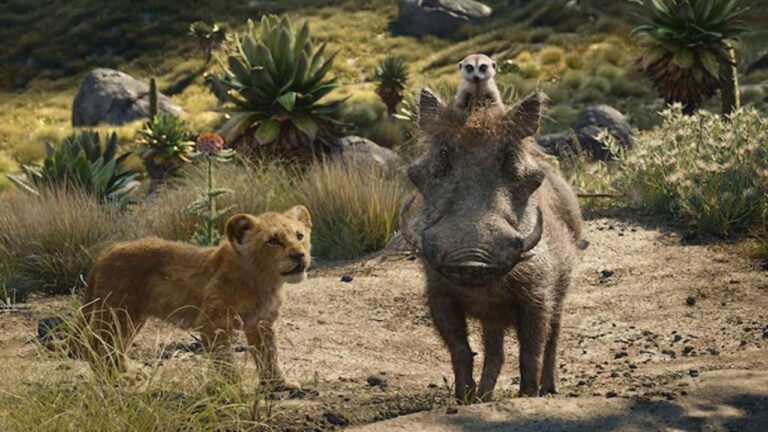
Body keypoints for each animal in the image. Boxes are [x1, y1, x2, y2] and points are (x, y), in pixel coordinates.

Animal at [77, 206, 312, 389]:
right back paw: (116, 379)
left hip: (131, 317)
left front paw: (278, 384)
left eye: (300, 236)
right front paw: (233, 389)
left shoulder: (262, 323)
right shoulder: (212, 324)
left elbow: (269, 354)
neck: (264, 281)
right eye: (273, 241)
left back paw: (129, 373)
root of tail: (106, 252)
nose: (299, 255)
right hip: (116, 313)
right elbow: (224, 360)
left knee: (117, 346)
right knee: (98, 346)